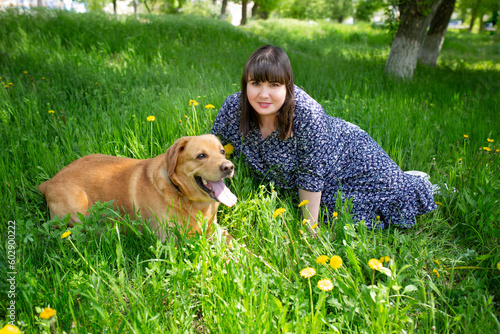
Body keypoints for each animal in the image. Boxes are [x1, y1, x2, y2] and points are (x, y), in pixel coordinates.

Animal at [38, 134, 237, 241]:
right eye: (201, 156)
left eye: (222, 151)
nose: (229, 167)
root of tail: (49, 182)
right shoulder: (171, 239)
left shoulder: (214, 229)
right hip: (79, 212)